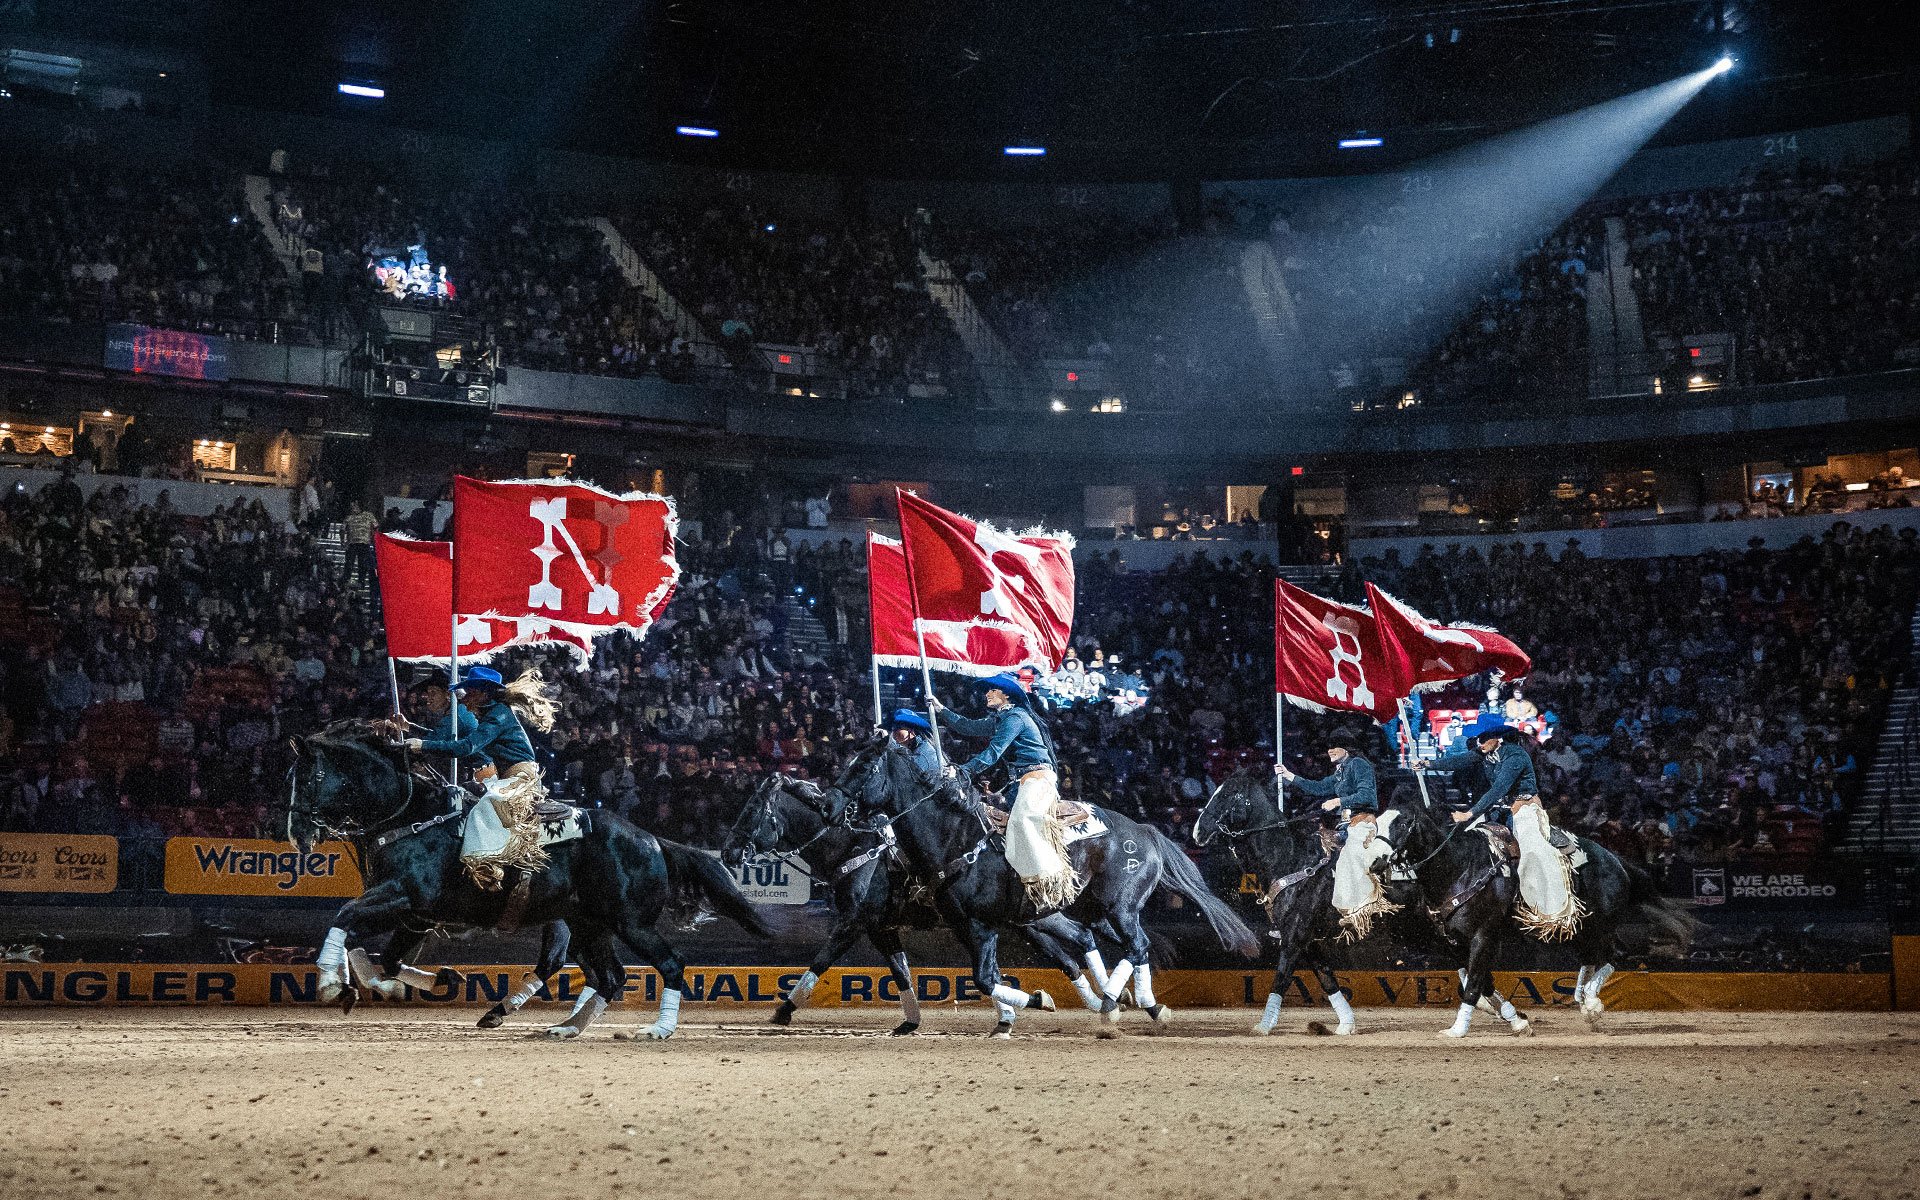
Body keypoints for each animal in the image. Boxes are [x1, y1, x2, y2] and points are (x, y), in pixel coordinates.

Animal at [286, 721, 771, 1036]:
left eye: (308, 776)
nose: (297, 833)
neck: (414, 816)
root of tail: (652, 839)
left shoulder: (403, 898)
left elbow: (345, 919)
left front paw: (330, 983)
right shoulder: (415, 916)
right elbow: (378, 956)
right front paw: (431, 981)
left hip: (630, 923)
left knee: (668, 964)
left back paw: (656, 1029)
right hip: (589, 924)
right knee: (609, 976)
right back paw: (565, 1026)